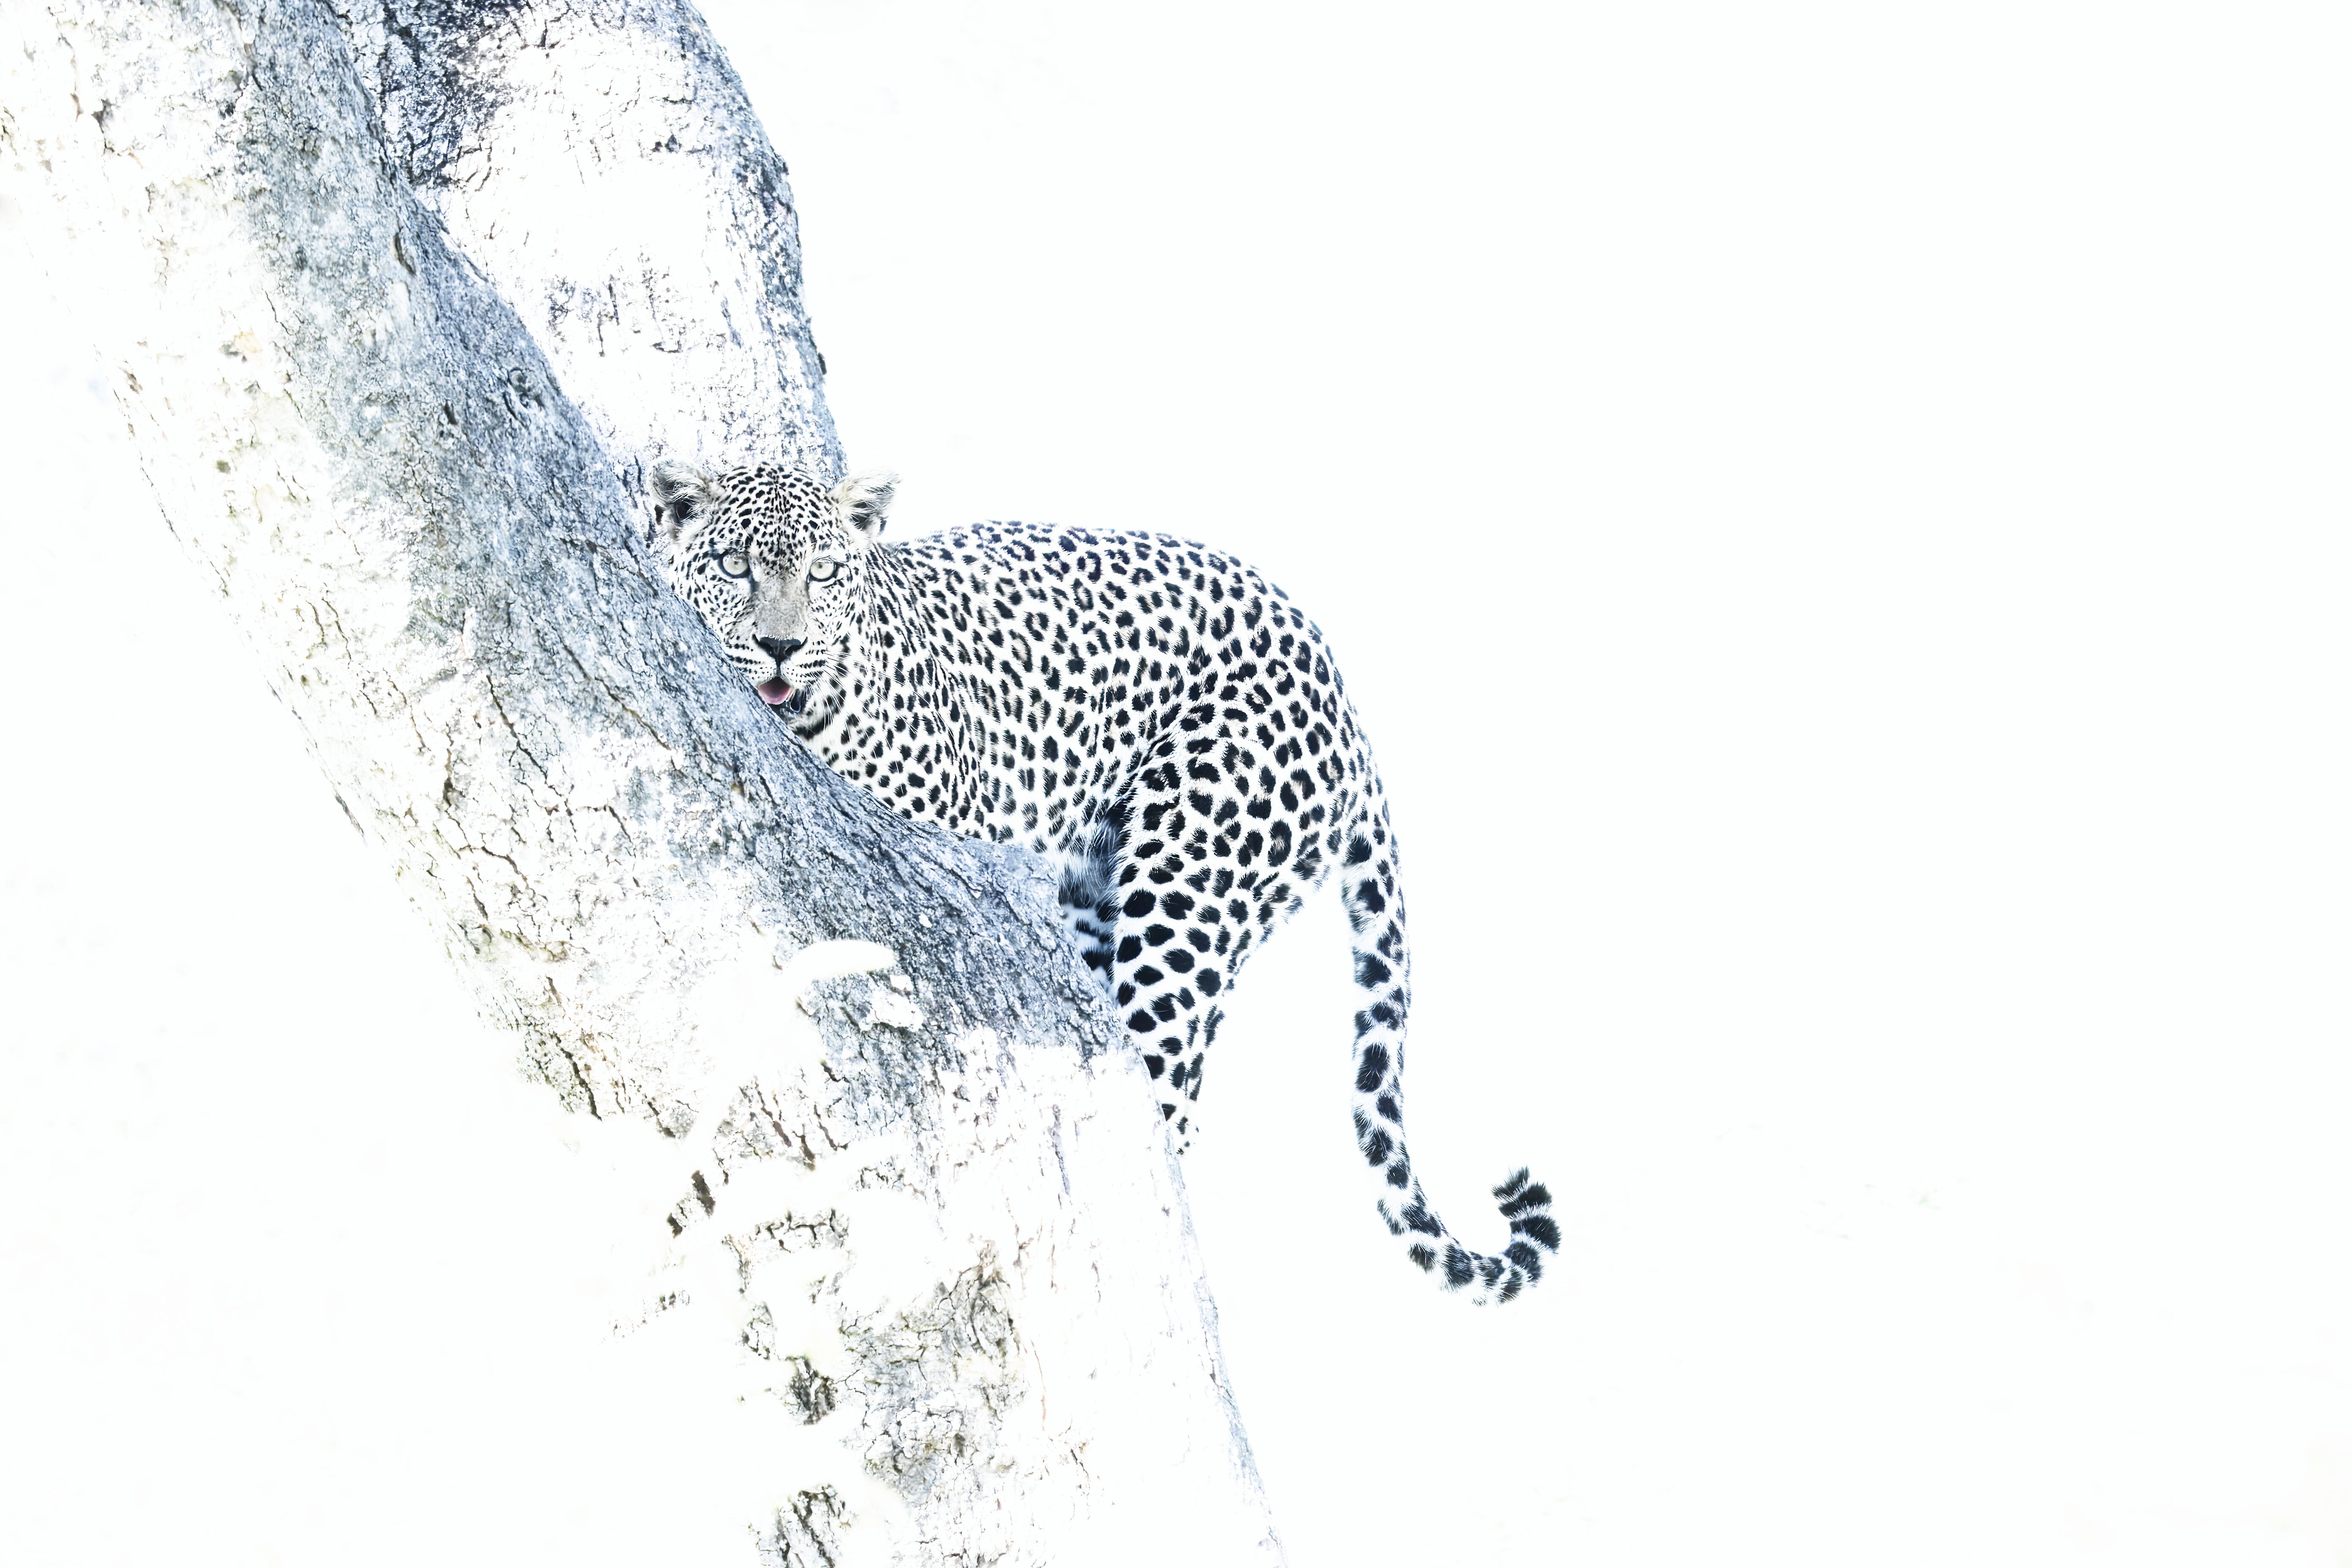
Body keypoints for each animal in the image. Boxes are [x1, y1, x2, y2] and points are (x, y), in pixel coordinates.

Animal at [651, 459, 1560, 1303]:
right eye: (733, 565)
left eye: (825, 572)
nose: (781, 646)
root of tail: (1347, 705)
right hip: (1100, 906)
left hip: (1188, 894)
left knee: (1165, 1101)